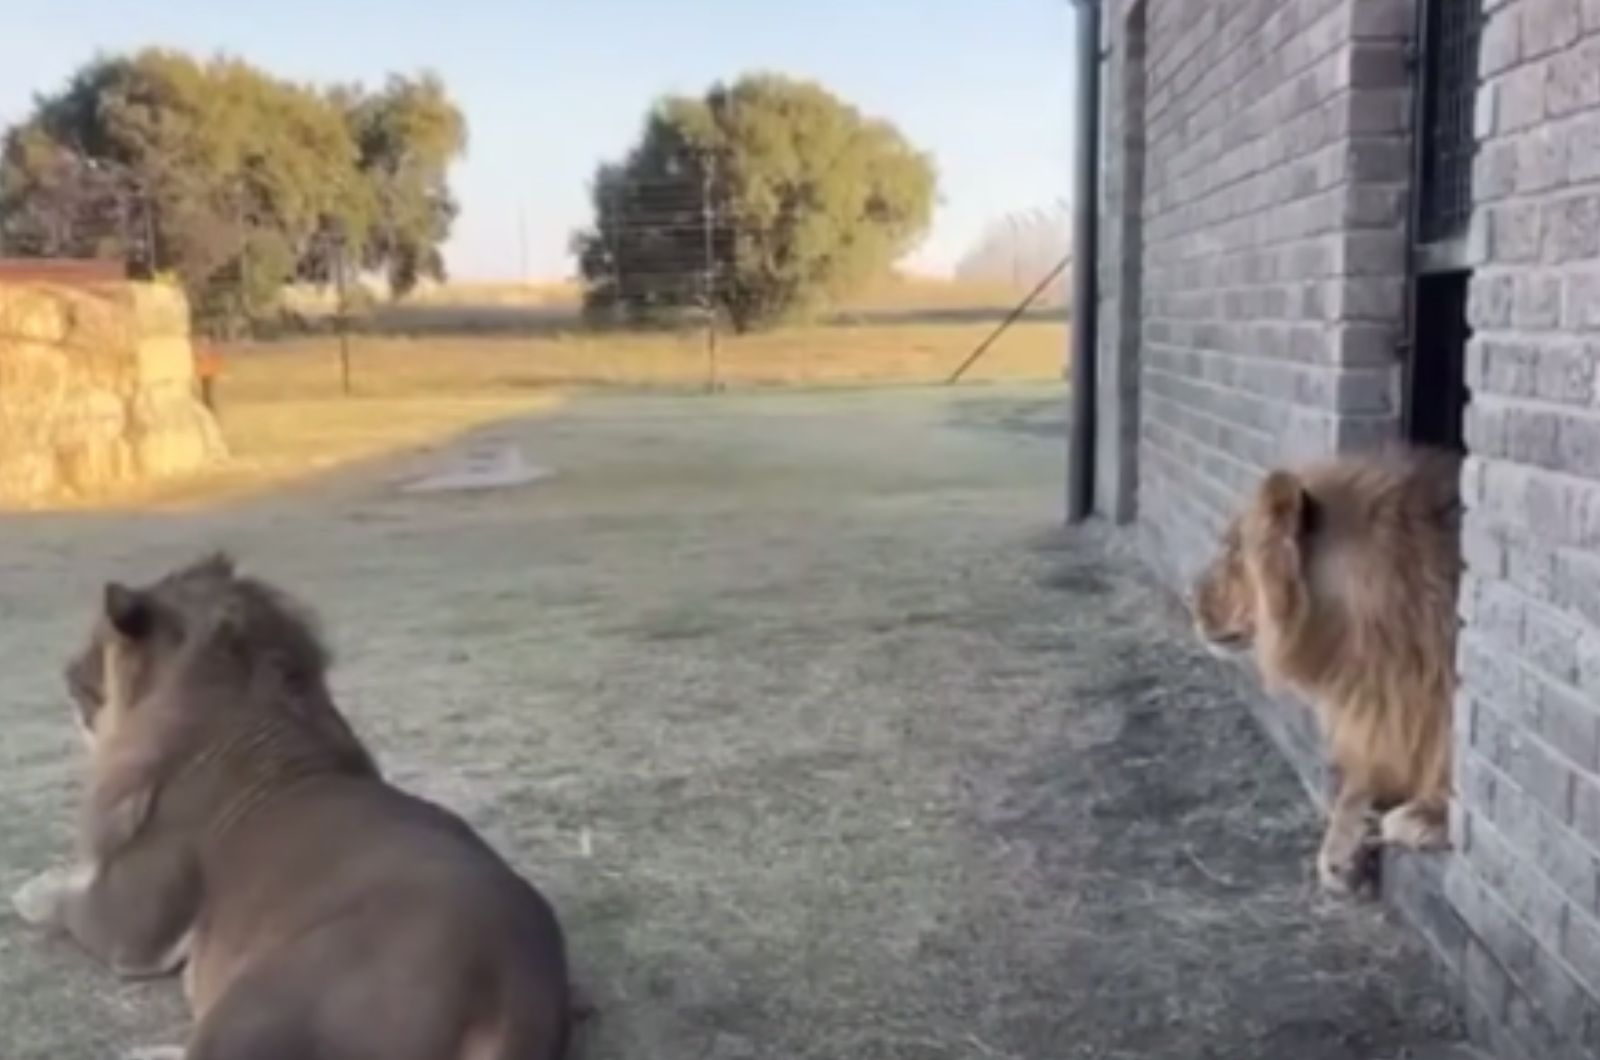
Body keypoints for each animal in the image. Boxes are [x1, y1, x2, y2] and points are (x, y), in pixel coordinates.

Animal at [9, 557, 585, 1060]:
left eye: (94, 645)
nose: (65, 673)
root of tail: (513, 990)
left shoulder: (130, 928)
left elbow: (62, 897)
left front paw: (25, 890)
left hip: (256, 1001)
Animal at [1190, 445, 1465, 896]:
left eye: (1233, 550)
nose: (1188, 597)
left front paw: (1428, 816)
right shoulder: (1389, 708)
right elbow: (1356, 786)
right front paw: (1338, 848)